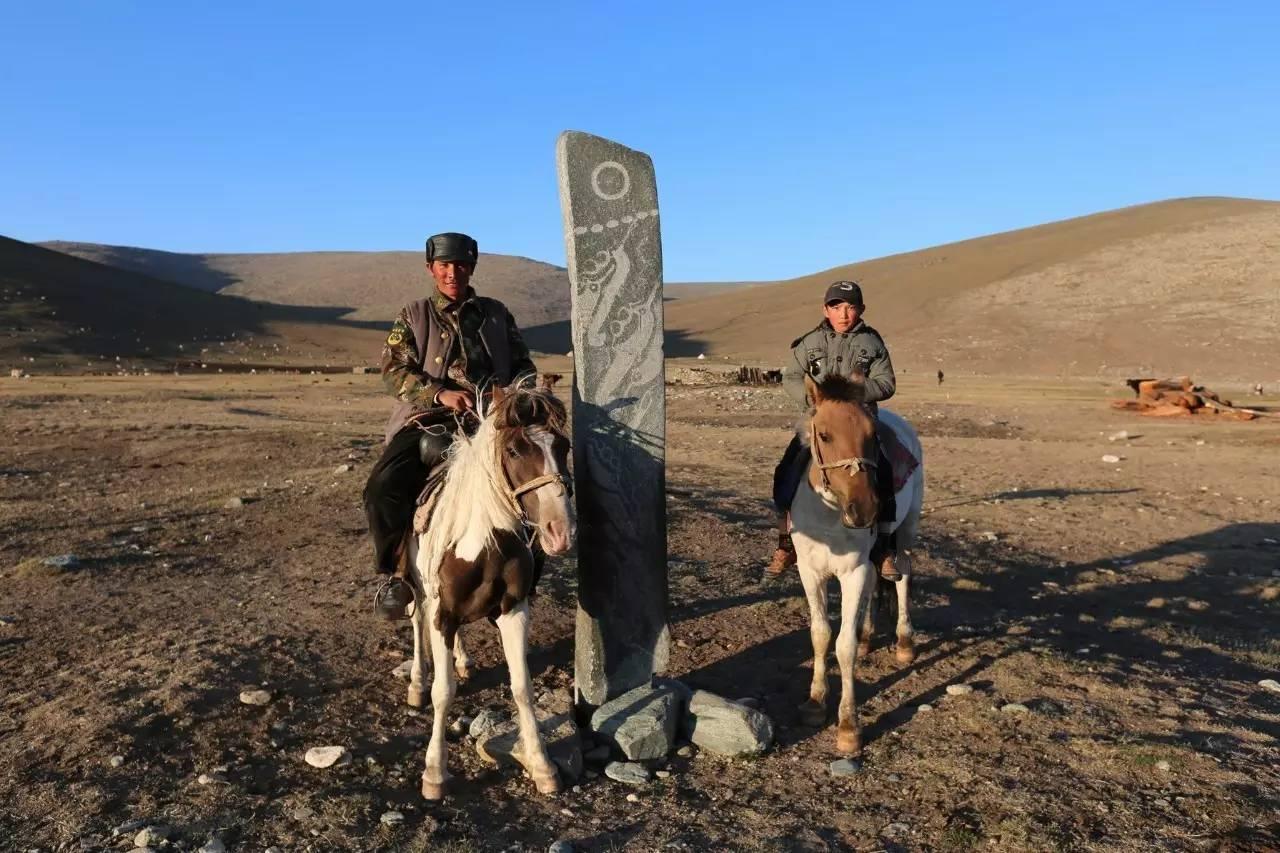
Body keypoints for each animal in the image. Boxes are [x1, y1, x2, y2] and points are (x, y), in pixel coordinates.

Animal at [404, 381, 576, 794]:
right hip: (419, 589)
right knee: (416, 622)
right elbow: (443, 692)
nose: (560, 533)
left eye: (563, 446)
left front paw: (542, 765)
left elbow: (522, 687)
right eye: (514, 450)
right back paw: (416, 681)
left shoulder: (514, 610)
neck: (483, 544)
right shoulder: (442, 614)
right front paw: (434, 771)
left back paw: (463, 661)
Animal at [788, 373, 921, 758]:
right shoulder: (810, 572)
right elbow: (820, 634)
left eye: (871, 435)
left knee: (902, 574)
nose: (865, 509)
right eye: (824, 434)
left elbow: (843, 646)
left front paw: (848, 726)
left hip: (907, 529)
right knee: (879, 581)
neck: (830, 514)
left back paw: (904, 642)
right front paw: (815, 702)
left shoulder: (853, 572)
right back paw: (867, 635)